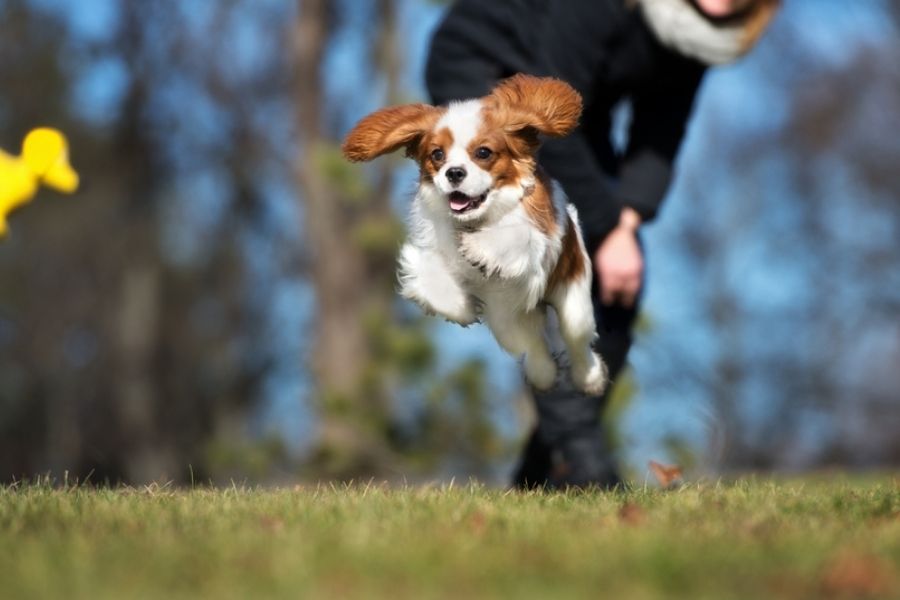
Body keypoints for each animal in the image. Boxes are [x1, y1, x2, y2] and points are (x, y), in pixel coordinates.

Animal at [342, 74, 608, 394]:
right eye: (437, 155)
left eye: (483, 153)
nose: (454, 172)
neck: (475, 220)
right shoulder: (434, 251)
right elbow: (429, 275)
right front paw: (464, 307)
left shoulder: (536, 244)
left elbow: (516, 238)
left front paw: (479, 248)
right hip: (509, 322)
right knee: (534, 344)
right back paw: (543, 373)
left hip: (573, 300)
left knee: (577, 341)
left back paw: (590, 378)